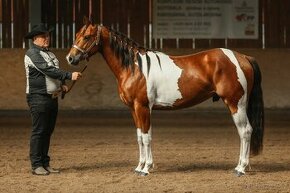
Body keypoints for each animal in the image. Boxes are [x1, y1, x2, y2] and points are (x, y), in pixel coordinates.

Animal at [67, 17, 264, 176]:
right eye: (76, 34)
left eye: (87, 37)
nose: (70, 58)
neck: (135, 67)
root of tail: (242, 57)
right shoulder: (133, 109)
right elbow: (140, 137)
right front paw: (139, 166)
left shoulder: (142, 107)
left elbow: (146, 137)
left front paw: (146, 169)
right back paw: (242, 166)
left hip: (236, 104)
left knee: (245, 131)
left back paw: (240, 168)